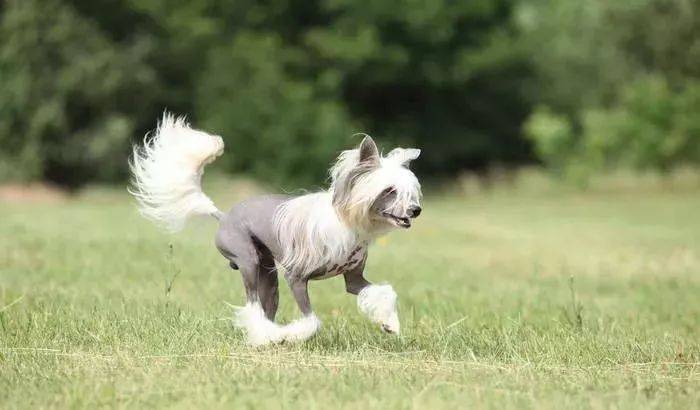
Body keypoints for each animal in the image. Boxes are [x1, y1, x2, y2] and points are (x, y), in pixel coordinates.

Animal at [129, 113, 424, 346]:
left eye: (410, 192)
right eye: (389, 190)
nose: (416, 211)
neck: (348, 225)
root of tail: (223, 215)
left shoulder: (353, 279)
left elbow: (382, 292)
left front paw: (389, 324)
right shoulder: (296, 277)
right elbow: (310, 320)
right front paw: (292, 335)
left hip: (268, 276)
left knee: (264, 307)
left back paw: (267, 336)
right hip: (247, 260)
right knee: (252, 306)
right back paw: (269, 336)